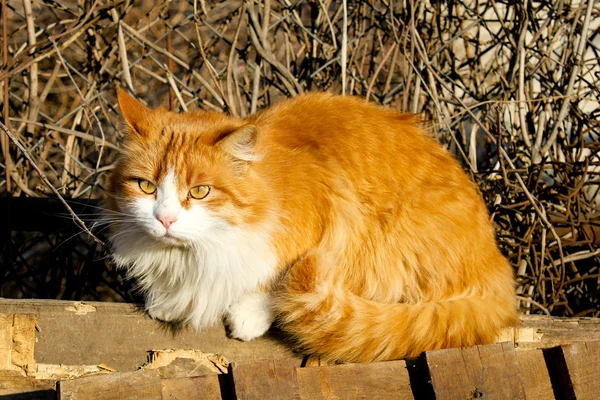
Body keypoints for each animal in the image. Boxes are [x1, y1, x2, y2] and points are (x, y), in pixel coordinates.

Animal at [106, 88, 516, 362]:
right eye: (146, 186)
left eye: (200, 191)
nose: (165, 218)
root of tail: (497, 267)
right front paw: (169, 303)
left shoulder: (322, 209)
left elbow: (267, 281)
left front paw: (247, 316)